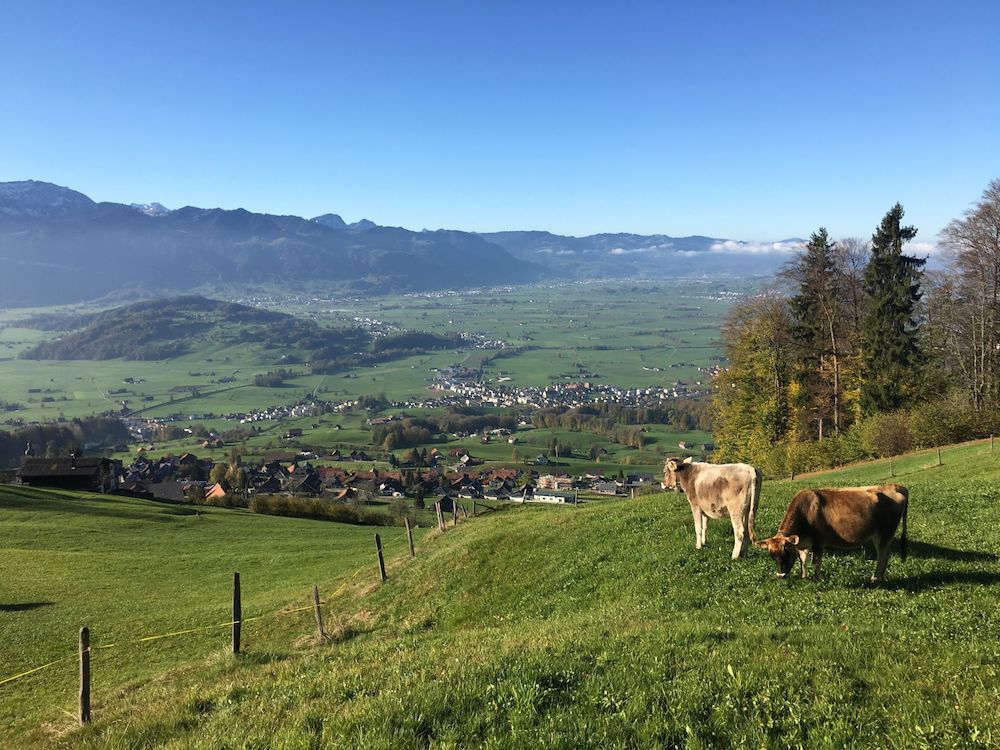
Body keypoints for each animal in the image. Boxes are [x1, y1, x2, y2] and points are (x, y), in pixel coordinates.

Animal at [752, 484, 912, 584]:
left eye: (786, 552)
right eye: (772, 555)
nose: (781, 575)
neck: (805, 512)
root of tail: (894, 486)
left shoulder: (819, 541)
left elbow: (815, 562)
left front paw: (817, 580)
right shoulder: (802, 543)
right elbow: (803, 560)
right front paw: (804, 577)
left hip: (885, 532)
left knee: (883, 555)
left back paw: (875, 579)